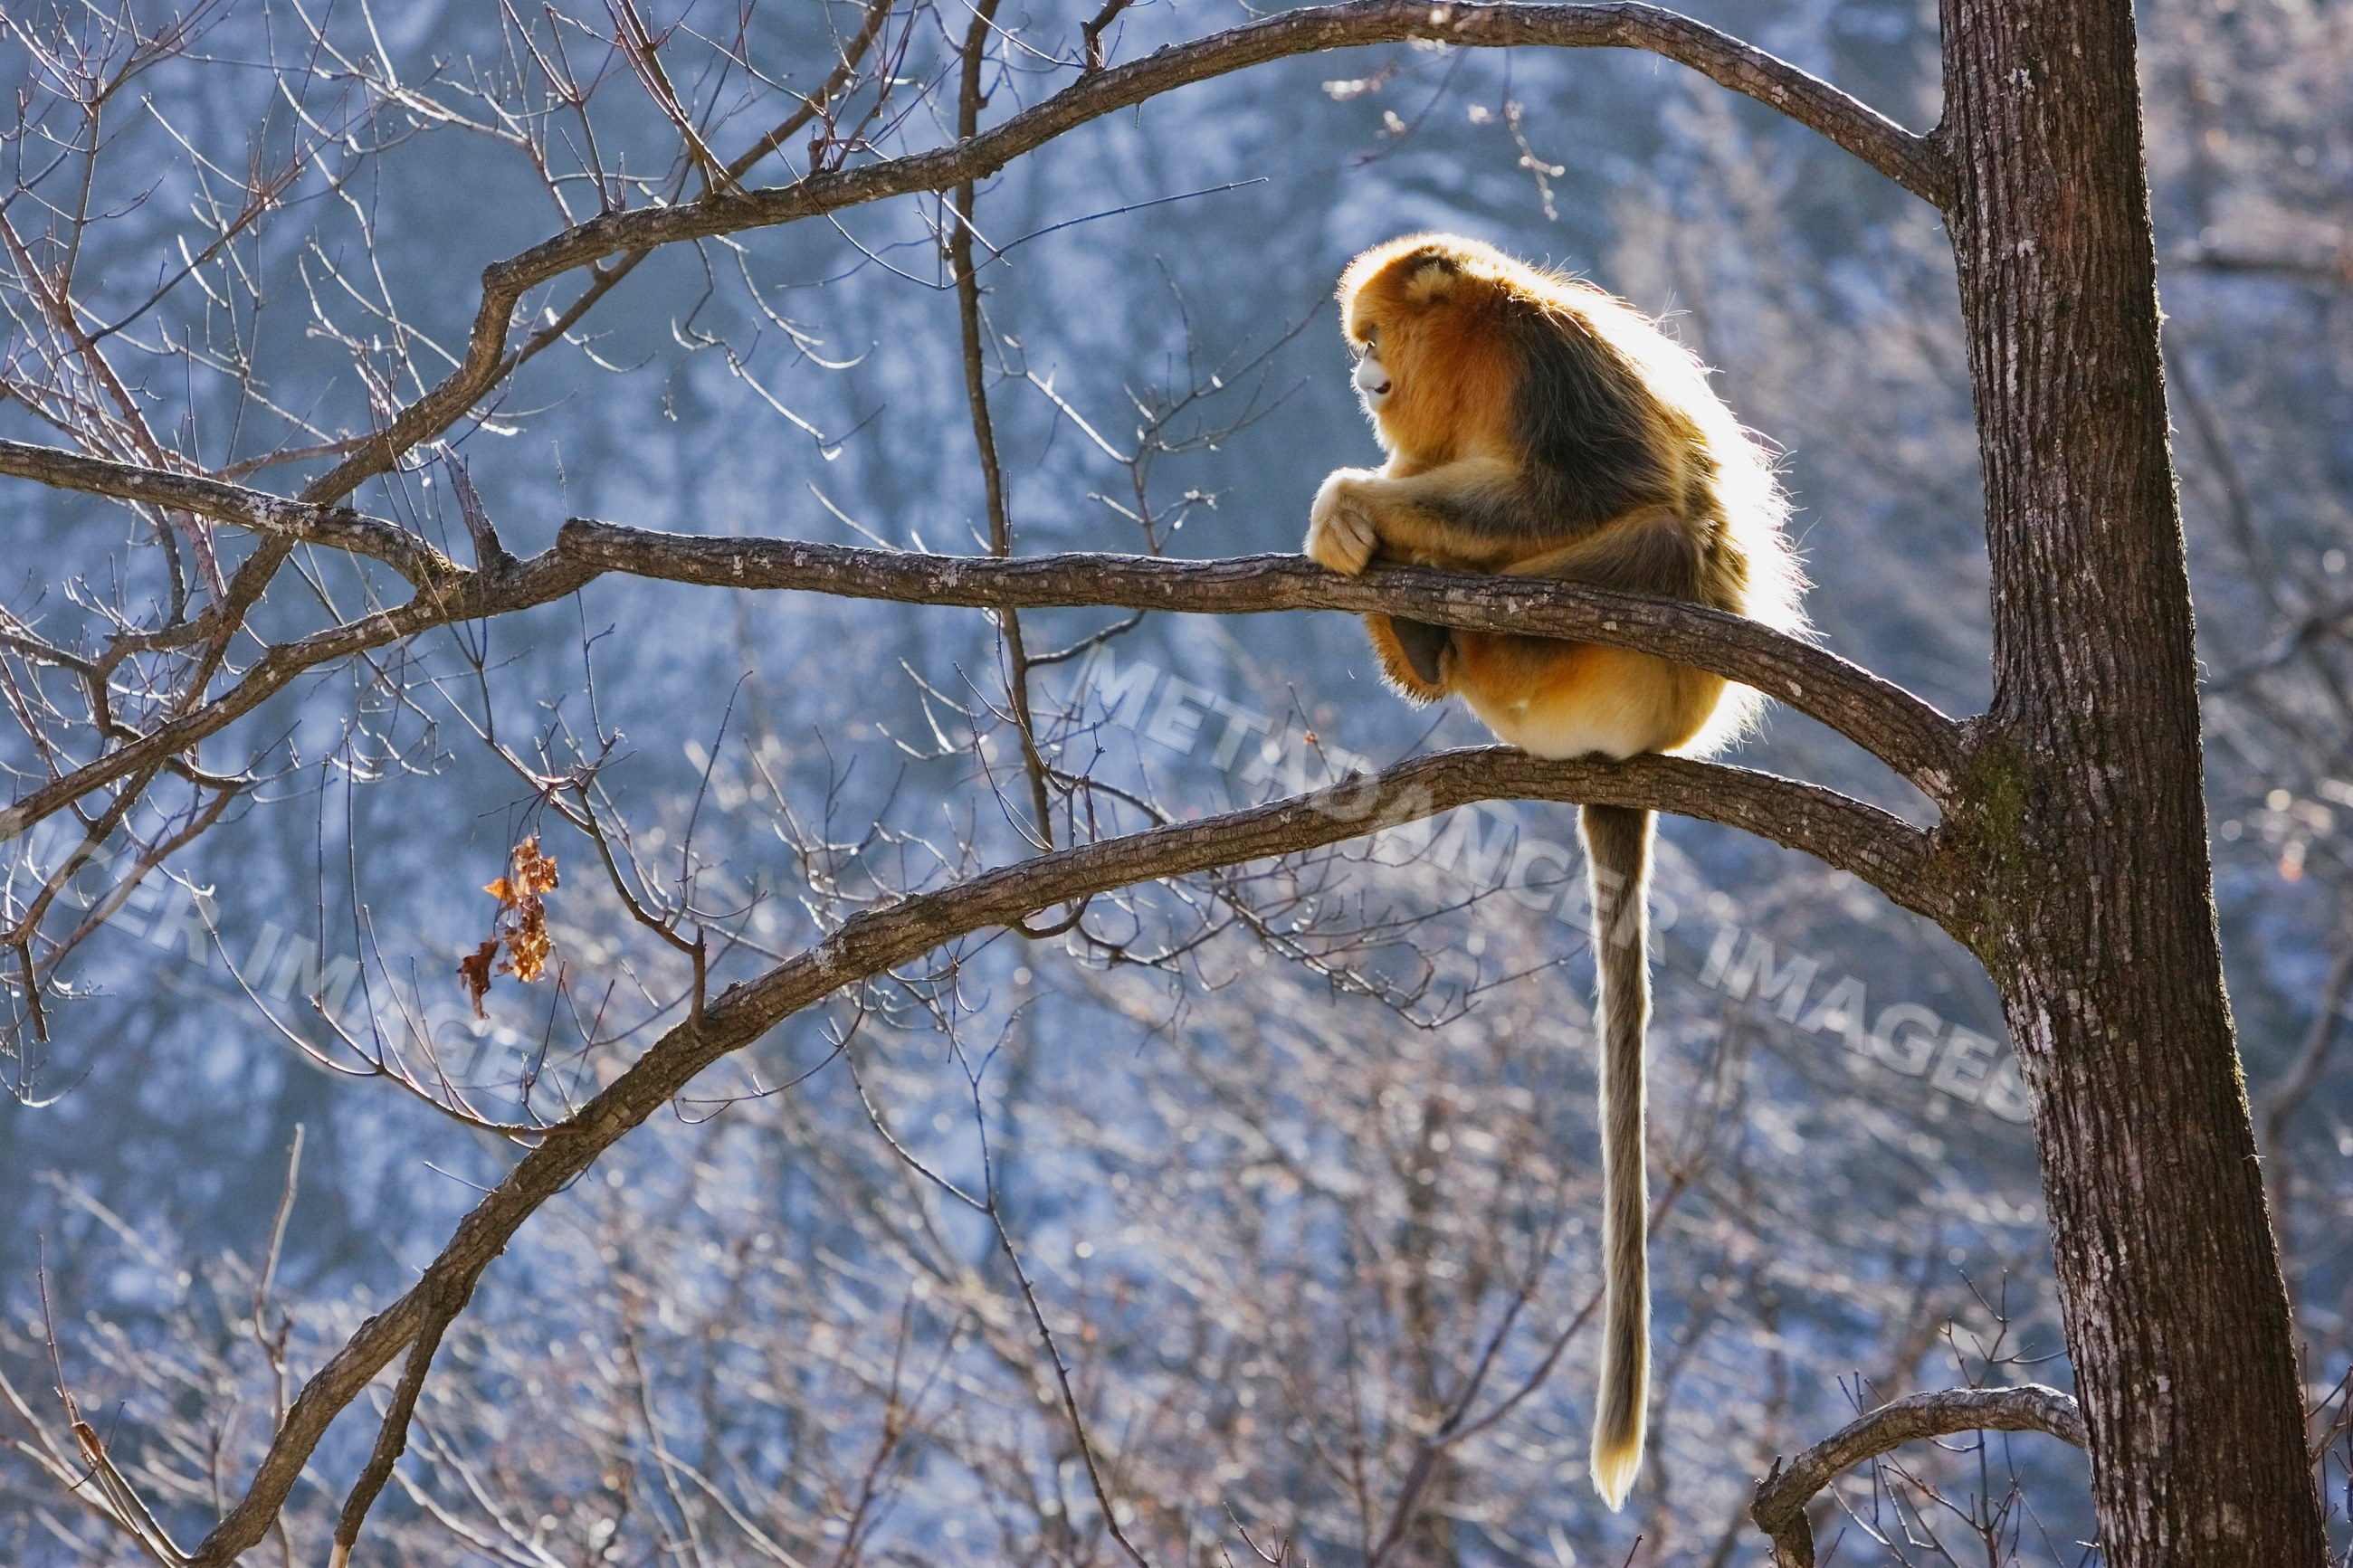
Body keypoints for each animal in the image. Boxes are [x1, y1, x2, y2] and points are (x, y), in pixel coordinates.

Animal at [1304, 234, 1804, 1510]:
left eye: (1370, 338)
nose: (1361, 380)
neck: (1476, 346)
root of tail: (1617, 756)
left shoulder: (1544, 360)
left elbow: (1574, 493)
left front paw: (1351, 501)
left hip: (1633, 664)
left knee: (1652, 530)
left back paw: (1453, 618)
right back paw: (1417, 641)